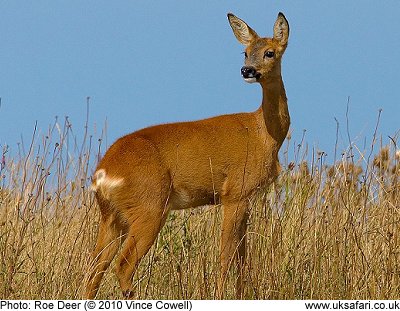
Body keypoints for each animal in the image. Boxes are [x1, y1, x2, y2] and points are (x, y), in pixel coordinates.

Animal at [86, 11, 290, 300]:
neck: (264, 134)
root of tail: (103, 173)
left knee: (93, 269)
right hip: (150, 207)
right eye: (245, 52)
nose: (247, 70)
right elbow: (226, 255)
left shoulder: (246, 198)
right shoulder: (234, 192)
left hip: (112, 216)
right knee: (123, 265)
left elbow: (242, 257)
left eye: (269, 52)